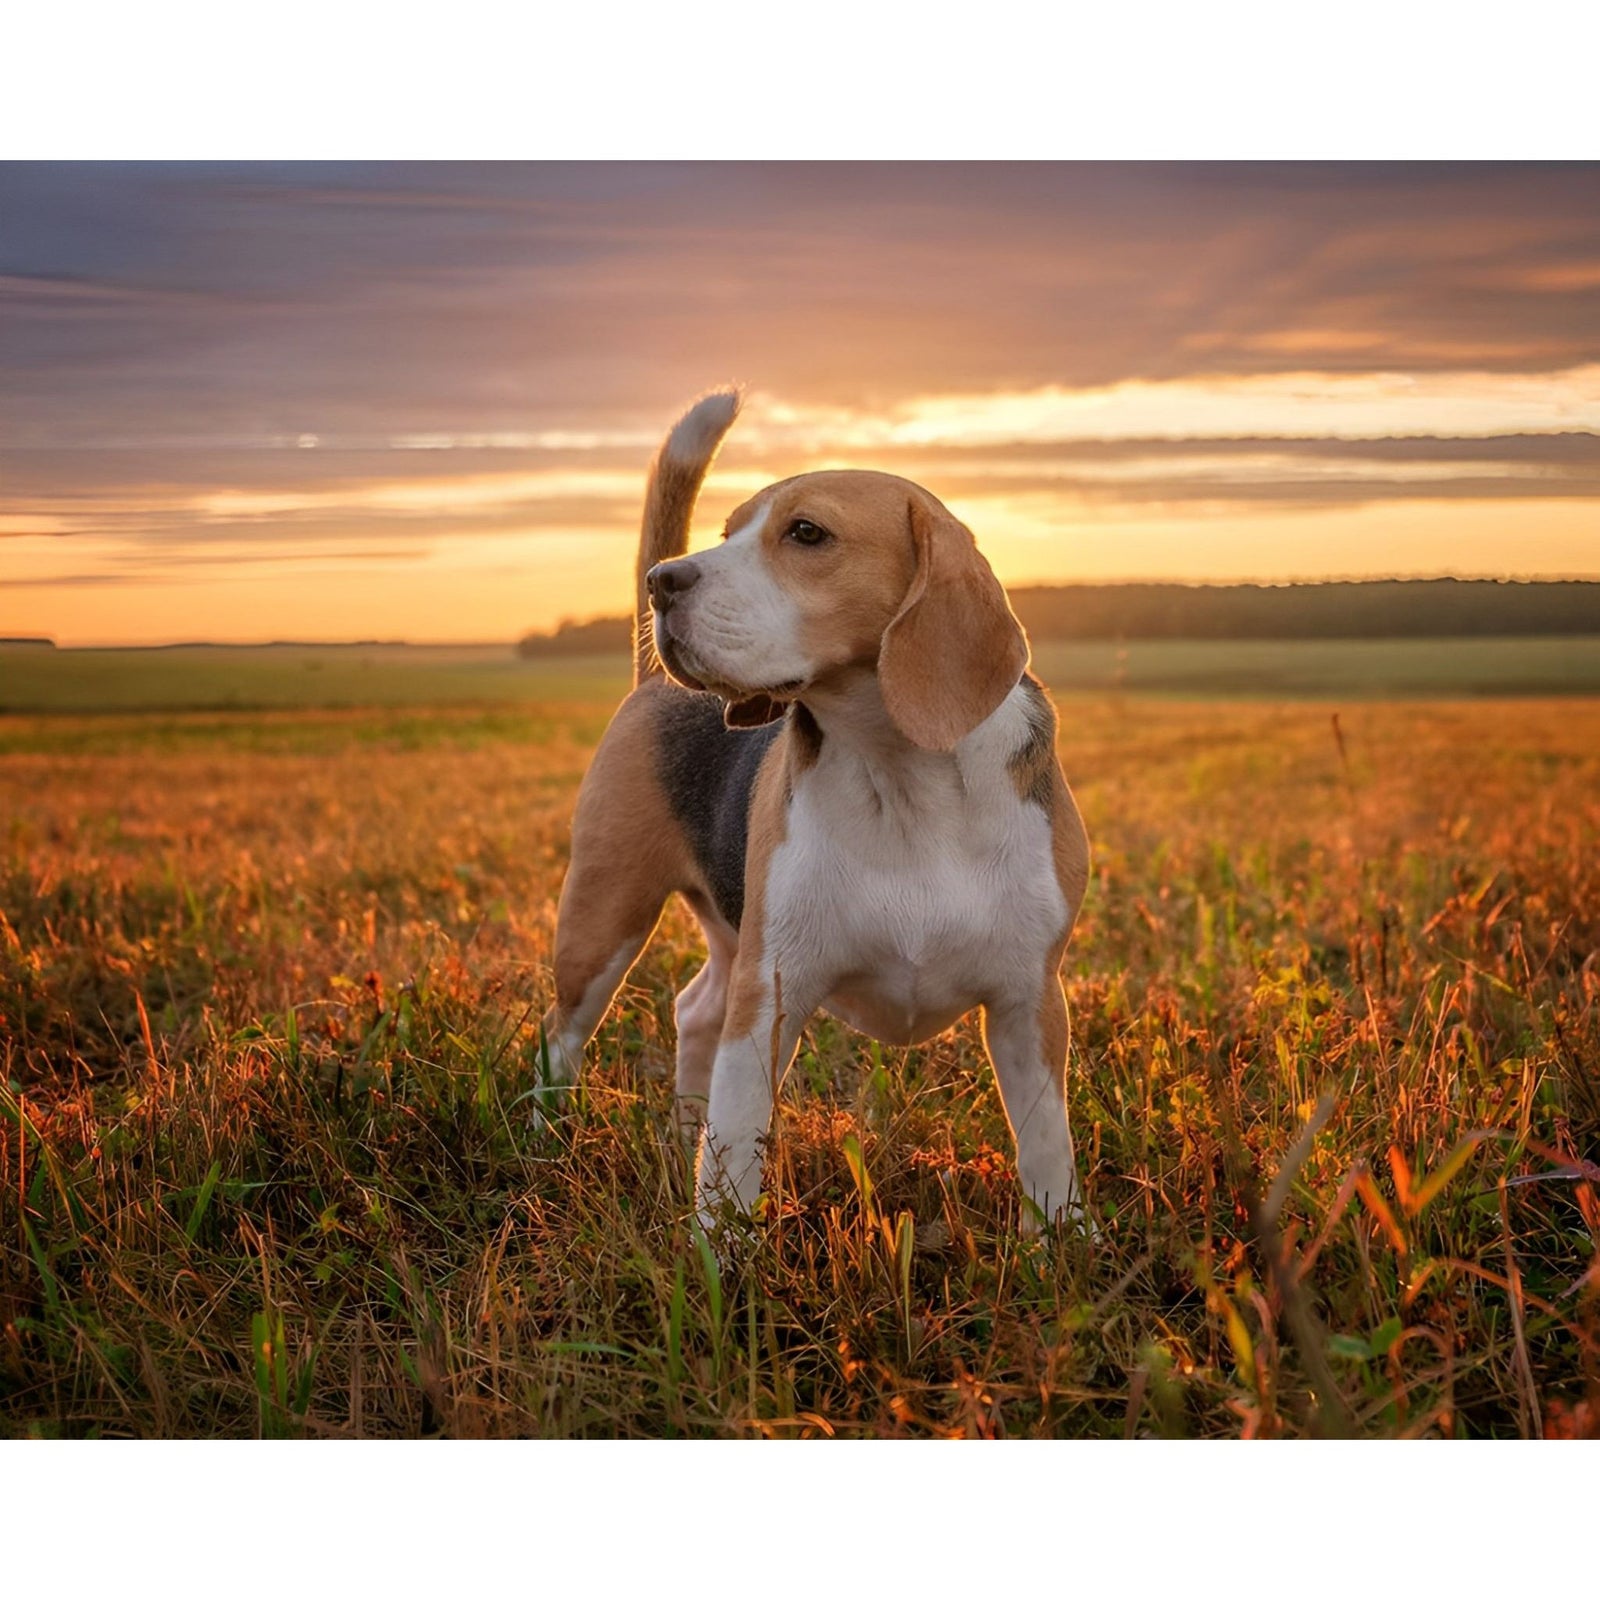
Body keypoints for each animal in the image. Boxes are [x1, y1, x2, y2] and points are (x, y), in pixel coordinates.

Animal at [544, 390, 1094, 1235]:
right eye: (727, 533)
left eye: (806, 533)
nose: (662, 582)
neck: (900, 775)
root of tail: (653, 682)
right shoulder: (771, 994)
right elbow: (736, 1149)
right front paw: (717, 1258)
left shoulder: (1030, 1001)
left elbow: (1045, 1145)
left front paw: (1061, 1244)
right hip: (604, 917)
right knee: (564, 1037)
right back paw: (541, 1136)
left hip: (725, 930)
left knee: (695, 1010)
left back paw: (678, 1136)